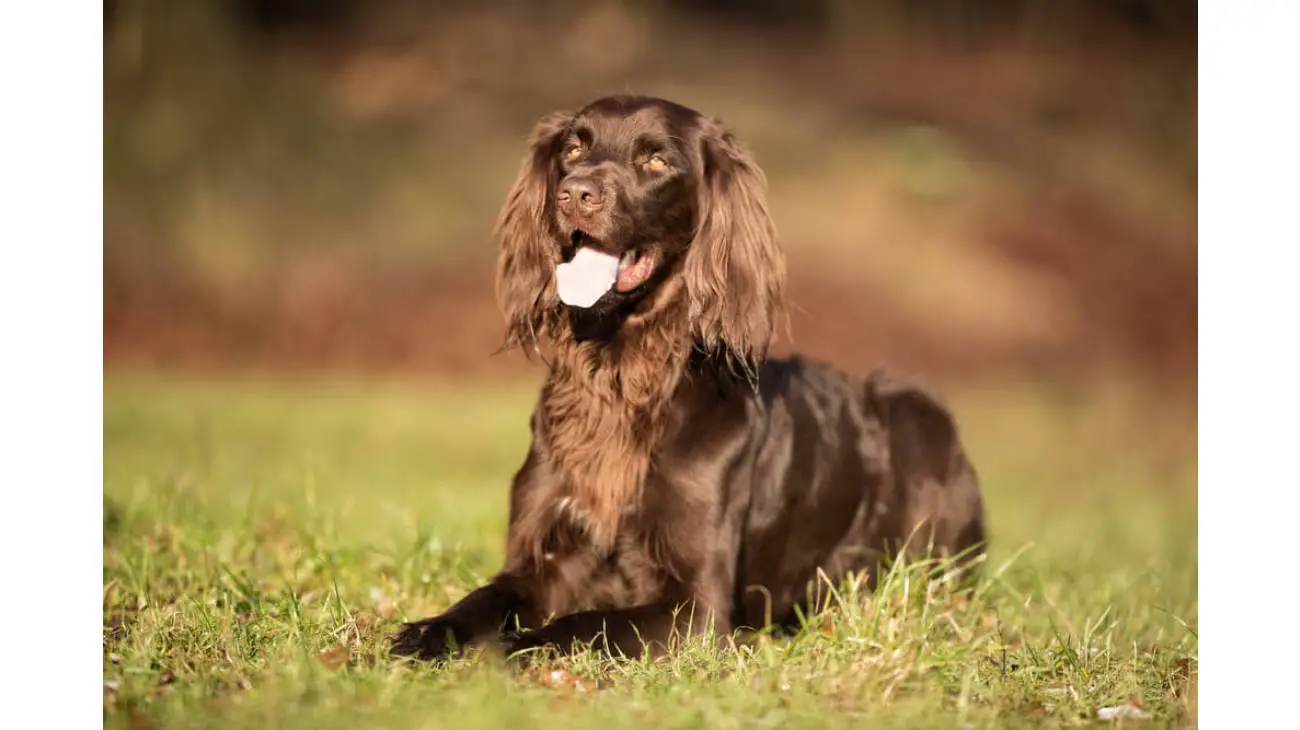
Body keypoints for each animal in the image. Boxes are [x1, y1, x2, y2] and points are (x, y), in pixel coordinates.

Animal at [384, 95, 982, 659]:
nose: (574, 194)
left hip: (918, 411)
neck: (622, 378)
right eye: (573, 149)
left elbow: (582, 623)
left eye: (656, 160)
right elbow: (481, 600)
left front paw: (514, 647)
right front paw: (427, 633)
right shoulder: (540, 559)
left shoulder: (696, 607)